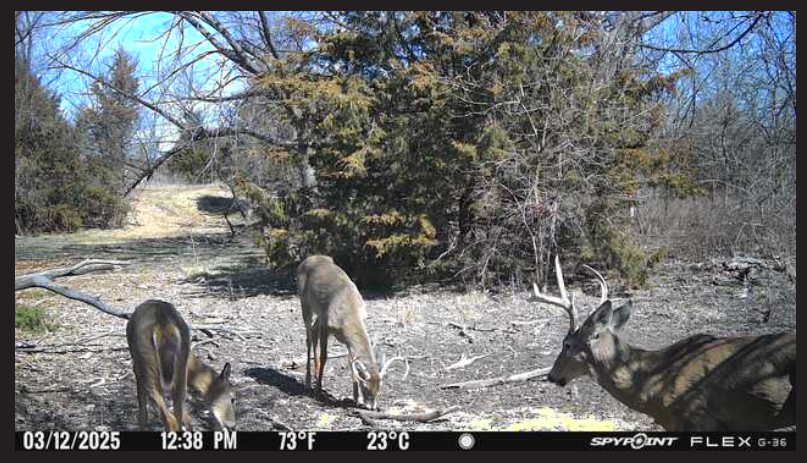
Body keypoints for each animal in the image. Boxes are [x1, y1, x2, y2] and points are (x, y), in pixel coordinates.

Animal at [126, 300, 236, 431]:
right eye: (233, 398)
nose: (232, 425)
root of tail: (164, 323)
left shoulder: (136, 367)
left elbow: (143, 407)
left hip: (146, 365)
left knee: (170, 419)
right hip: (179, 368)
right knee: (177, 413)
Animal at [297, 255, 408, 410]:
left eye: (379, 388)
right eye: (366, 387)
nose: (372, 407)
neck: (349, 314)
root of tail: (307, 259)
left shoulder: (346, 337)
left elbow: (351, 361)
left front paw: (355, 398)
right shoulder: (326, 325)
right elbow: (325, 356)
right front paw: (318, 391)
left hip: (318, 313)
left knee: (313, 332)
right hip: (305, 302)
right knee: (308, 336)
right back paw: (308, 382)